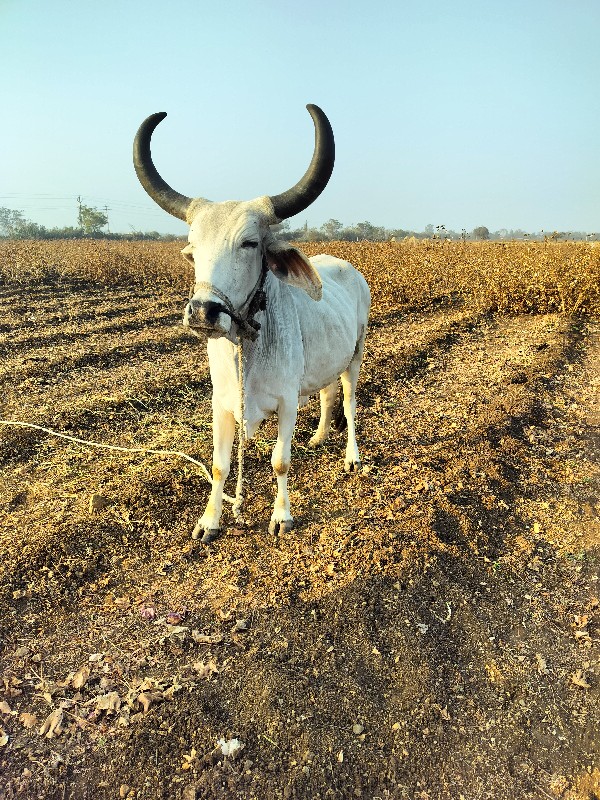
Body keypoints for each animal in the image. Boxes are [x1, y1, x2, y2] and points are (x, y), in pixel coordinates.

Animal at [135, 104, 370, 544]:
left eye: (249, 243)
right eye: (193, 249)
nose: (203, 312)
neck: (246, 350)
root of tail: (345, 266)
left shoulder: (287, 402)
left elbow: (280, 461)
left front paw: (281, 517)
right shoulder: (221, 404)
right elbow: (219, 465)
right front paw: (209, 521)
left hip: (356, 357)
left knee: (348, 402)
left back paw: (351, 456)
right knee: (328, 394)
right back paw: (319, 437)